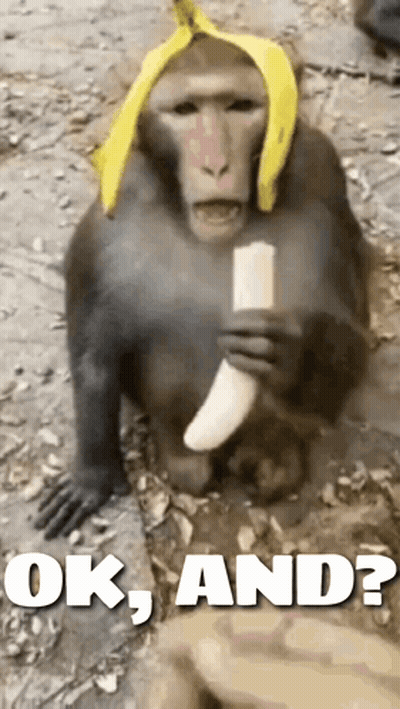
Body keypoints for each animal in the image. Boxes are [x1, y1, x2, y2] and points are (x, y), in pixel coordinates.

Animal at [35, 34, 368, 538]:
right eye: (185, 110)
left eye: (240, 106)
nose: (215, 165)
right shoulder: (115, 207)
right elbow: (97, 354)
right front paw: (92, 476)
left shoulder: (324, 174)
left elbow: (356, 336)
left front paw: (284, 346)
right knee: (192, 470)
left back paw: (274, 463)